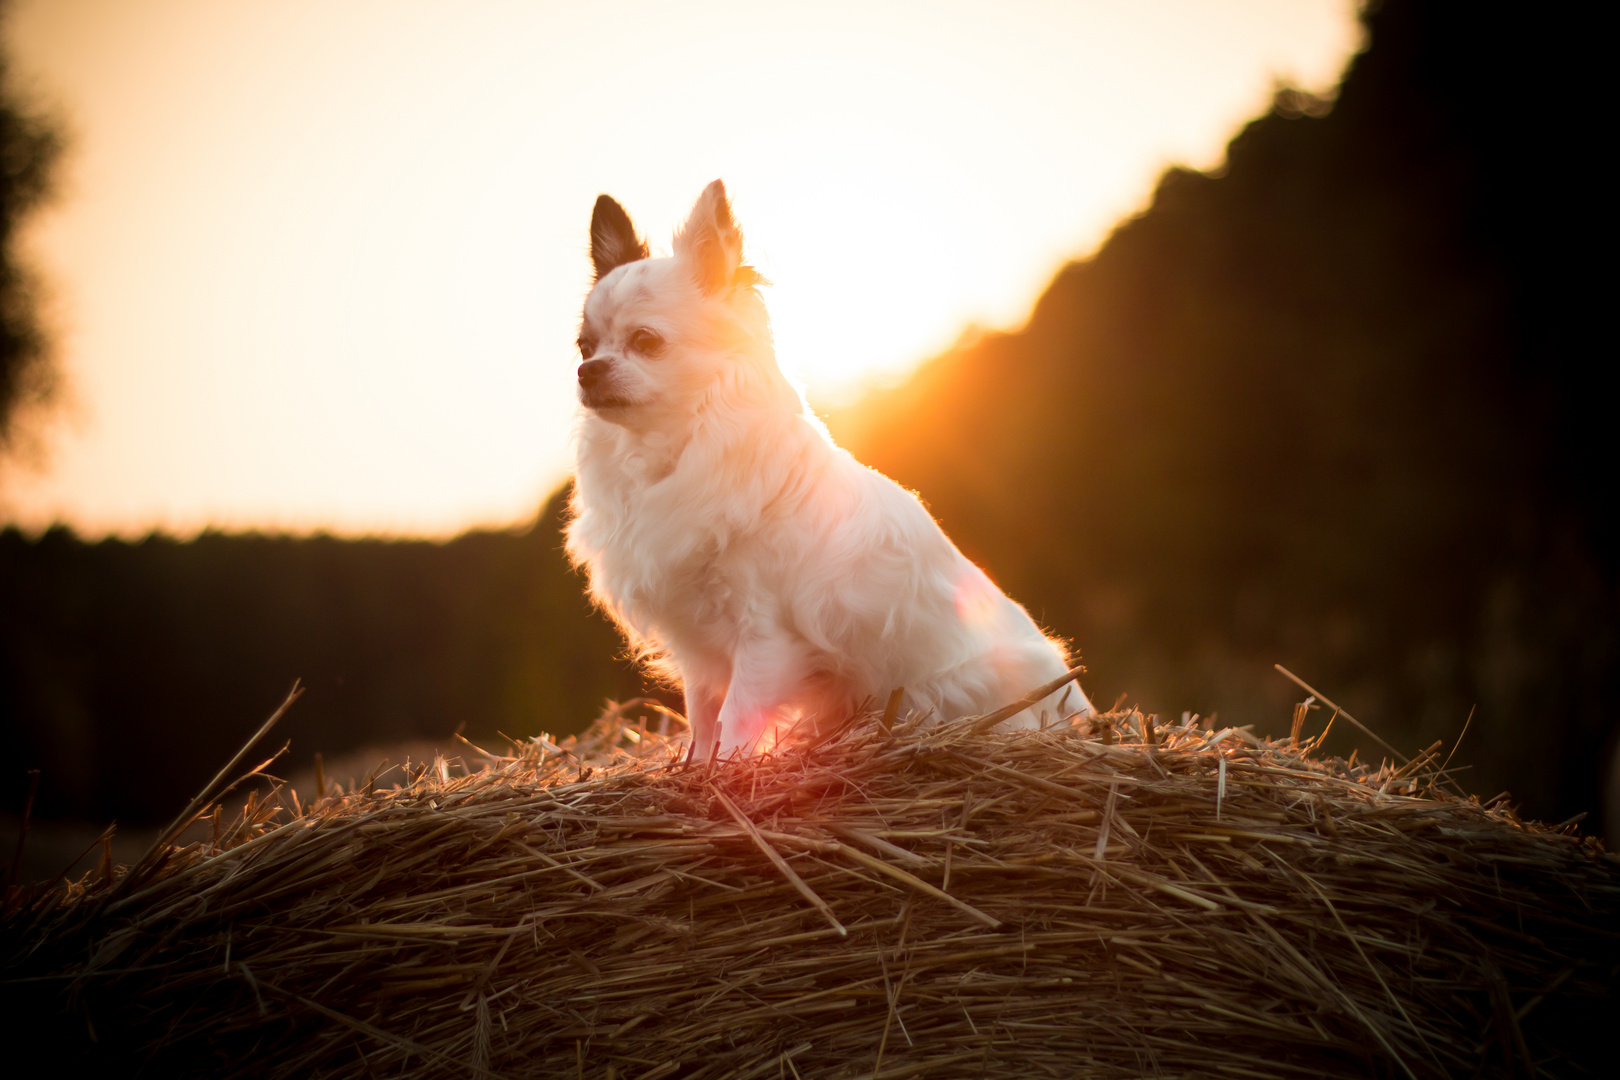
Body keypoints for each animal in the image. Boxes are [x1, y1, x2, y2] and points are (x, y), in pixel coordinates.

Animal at [567, 181, 1088, 757]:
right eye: (584, 347)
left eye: (647, 342)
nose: (588, 371)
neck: (670, 452)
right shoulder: (700, 646)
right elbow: (703, 720)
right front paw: (695, 769)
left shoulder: (765, 637)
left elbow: (735, 717)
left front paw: (727, 773)